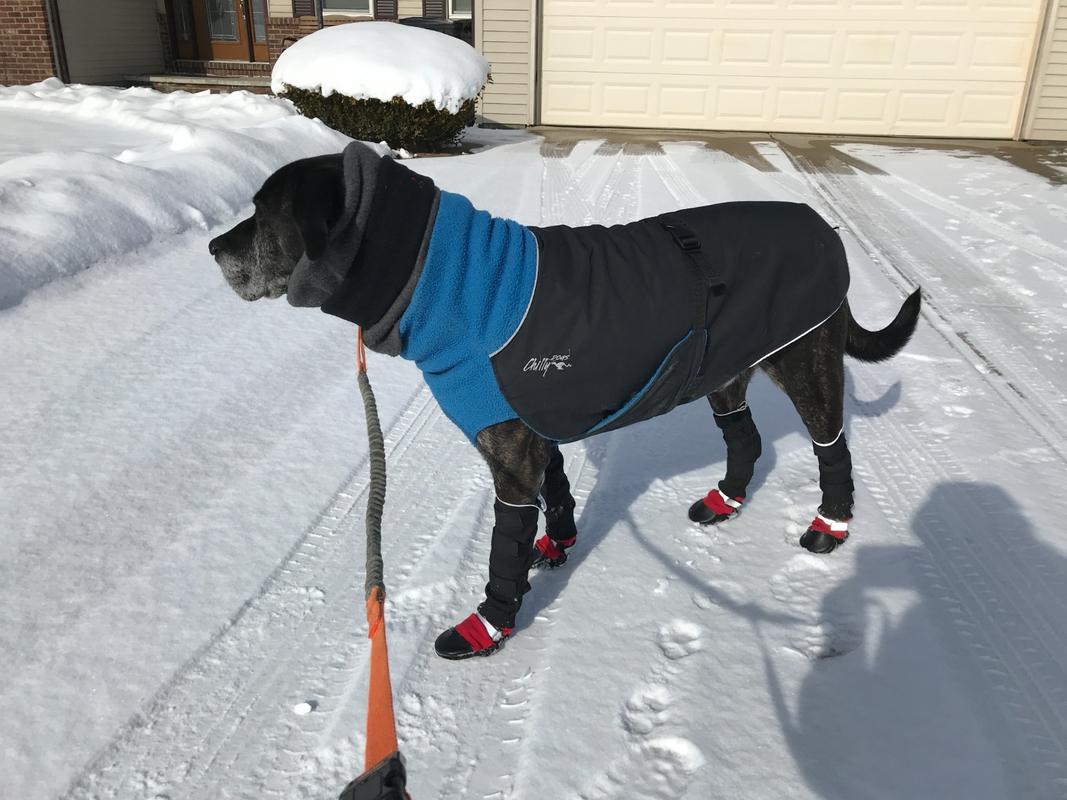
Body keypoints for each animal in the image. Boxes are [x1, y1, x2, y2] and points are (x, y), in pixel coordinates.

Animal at [210, 140, 926, 661]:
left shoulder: (509, 457)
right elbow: (556, 492)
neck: (447, 282)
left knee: (832, 447)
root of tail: (822, 226)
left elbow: (502, 546)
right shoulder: (535, 431)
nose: (215, 247)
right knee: (744, 436)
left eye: (263, 215)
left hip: (805, 362)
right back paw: (727, 500)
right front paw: (555, 547)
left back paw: (831, 524)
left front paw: (490, 624)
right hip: (725, 367)